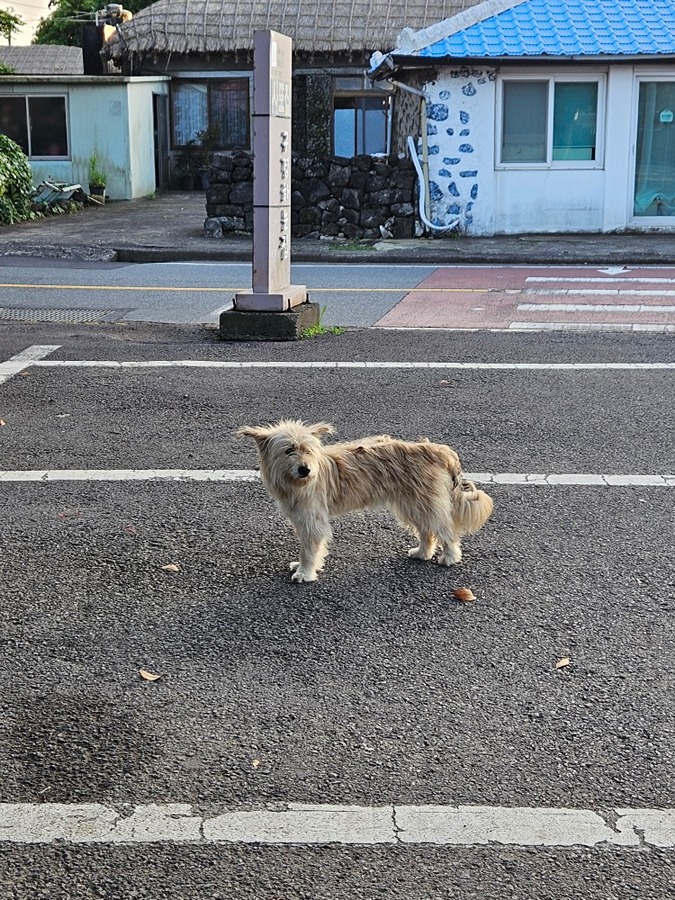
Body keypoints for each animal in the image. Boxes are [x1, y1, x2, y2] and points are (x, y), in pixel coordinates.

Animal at [240, 420, 494, 584]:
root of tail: (433, 448)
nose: (305, 469)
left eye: (308, 450)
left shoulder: (313, 520)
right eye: (288, 450)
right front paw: (305, 566)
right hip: (412, 503)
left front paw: (305, 572)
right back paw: (423, 552)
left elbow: (309, 548)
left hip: (423, 502)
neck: (295, 483)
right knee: (426, 530)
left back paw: (449, 556)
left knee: (444, 529)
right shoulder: (301, 518)